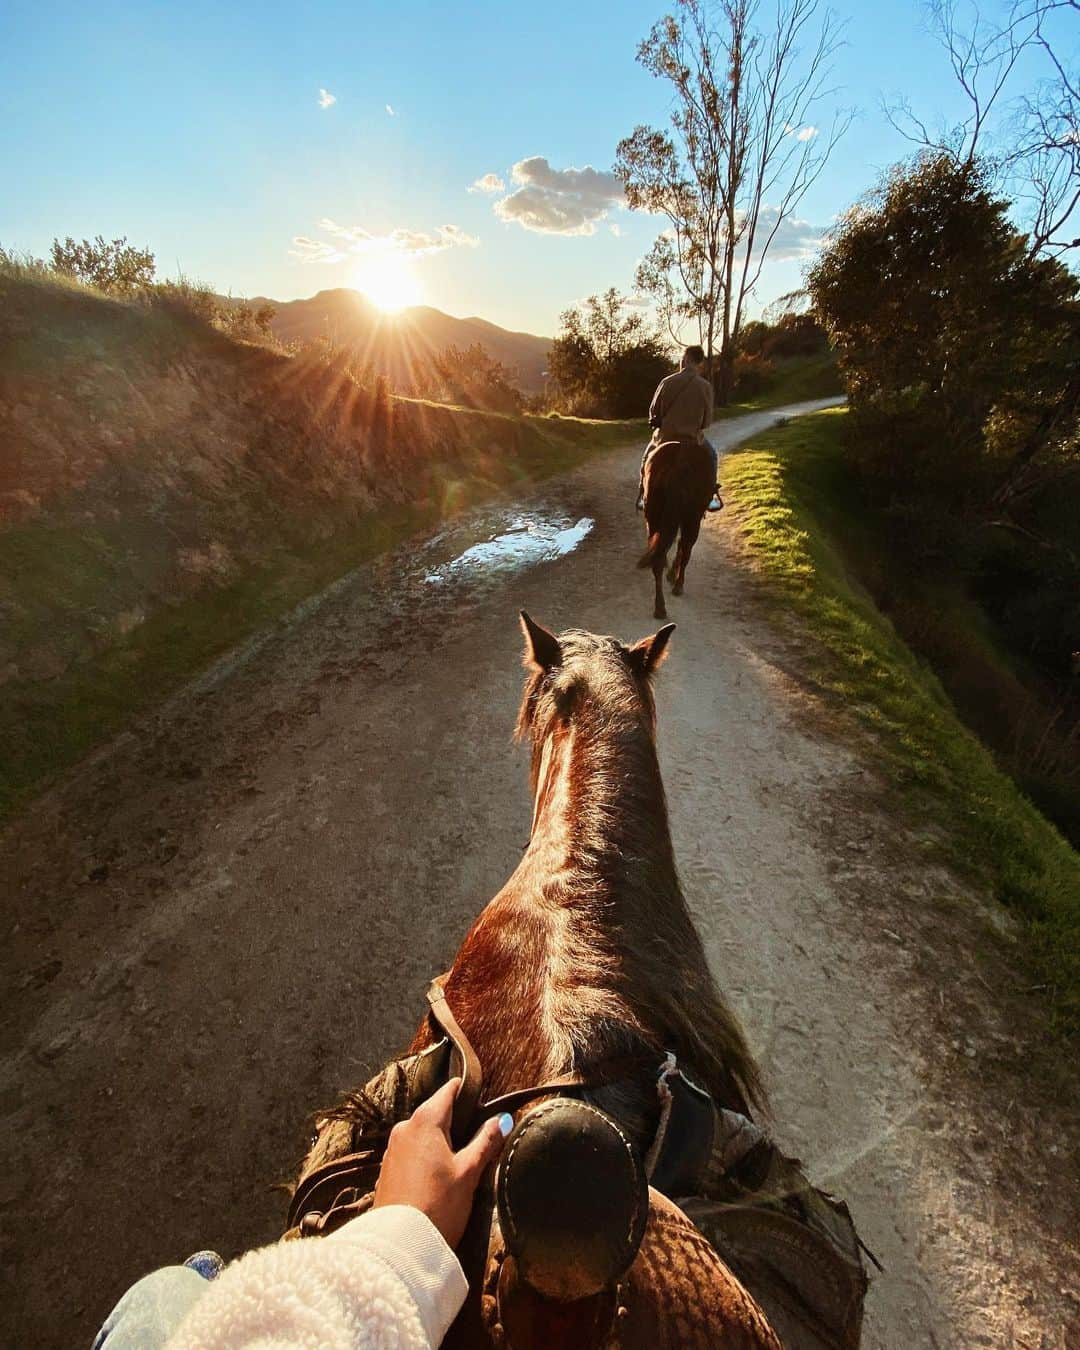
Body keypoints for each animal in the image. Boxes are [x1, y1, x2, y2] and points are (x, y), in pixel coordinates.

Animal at [631, 437, 718, 618]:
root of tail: (681, 459)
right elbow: (682, 548)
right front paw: (672, 574)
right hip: (692, 519)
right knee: (686, 550)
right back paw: (678, 586)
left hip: (654, 516)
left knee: (658, 557)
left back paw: (659, 607)